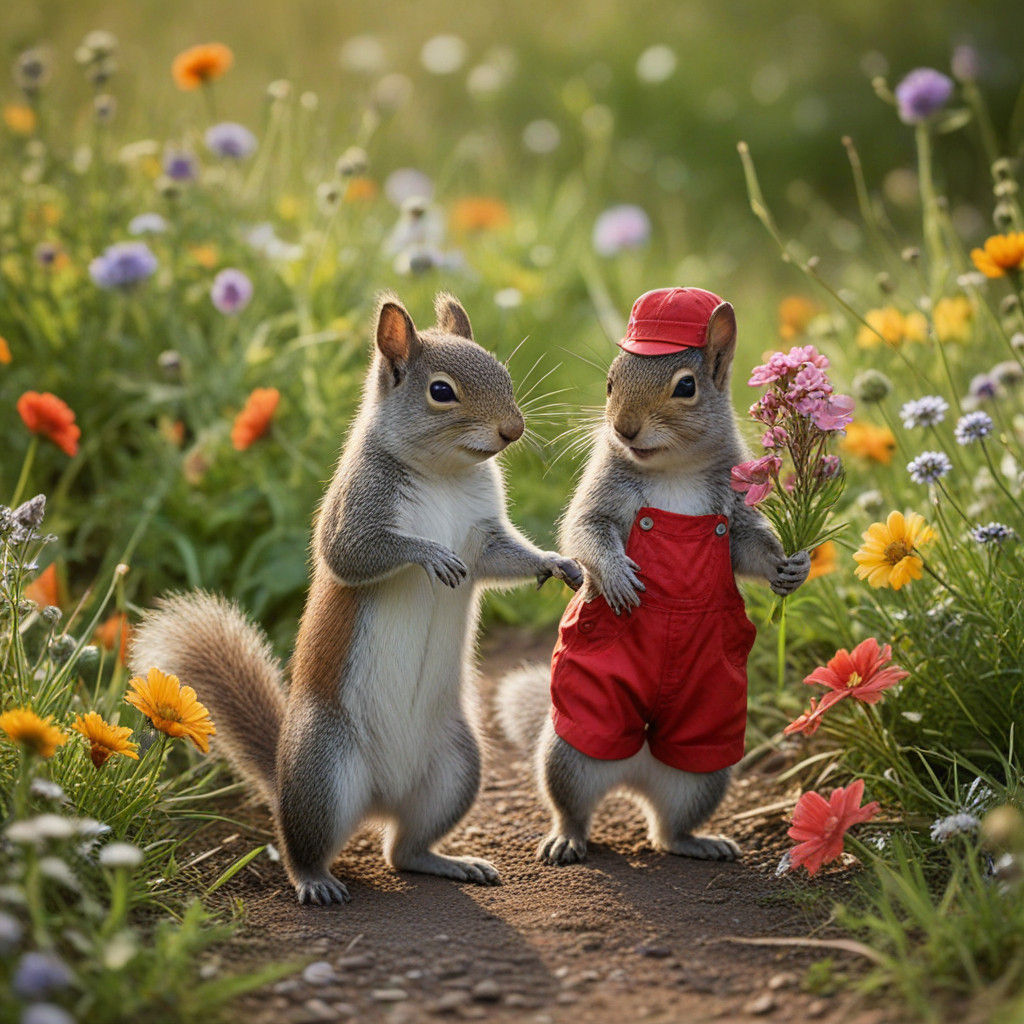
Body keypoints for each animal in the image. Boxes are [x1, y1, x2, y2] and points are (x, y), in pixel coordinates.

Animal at [132, 292, 582, 905]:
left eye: (503, 373)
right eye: (441, 391)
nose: (513, 430)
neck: (444, 474)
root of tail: (378, 800)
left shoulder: (485, 535)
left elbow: (501, 558)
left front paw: (555, 563)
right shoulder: (356, 507)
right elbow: (351, 552)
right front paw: (430, 554)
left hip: (456, 767)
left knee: (404, 850)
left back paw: (449, 861)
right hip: (324, 771)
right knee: (302, 843)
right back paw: (316, 881)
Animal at [497, 287, 810, 866]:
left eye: (686, 387)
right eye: (610, 383)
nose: (623, 427)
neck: (672, 470)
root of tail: (634, 764)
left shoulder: (734, 514)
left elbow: (749, 550)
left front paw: (790, 568)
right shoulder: (600, 495)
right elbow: (585, 533)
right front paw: (617, 575)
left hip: (702, 763)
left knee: (669, 828)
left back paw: (697, 842)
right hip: (574, 746)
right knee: (573, 804)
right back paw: (566, 837)